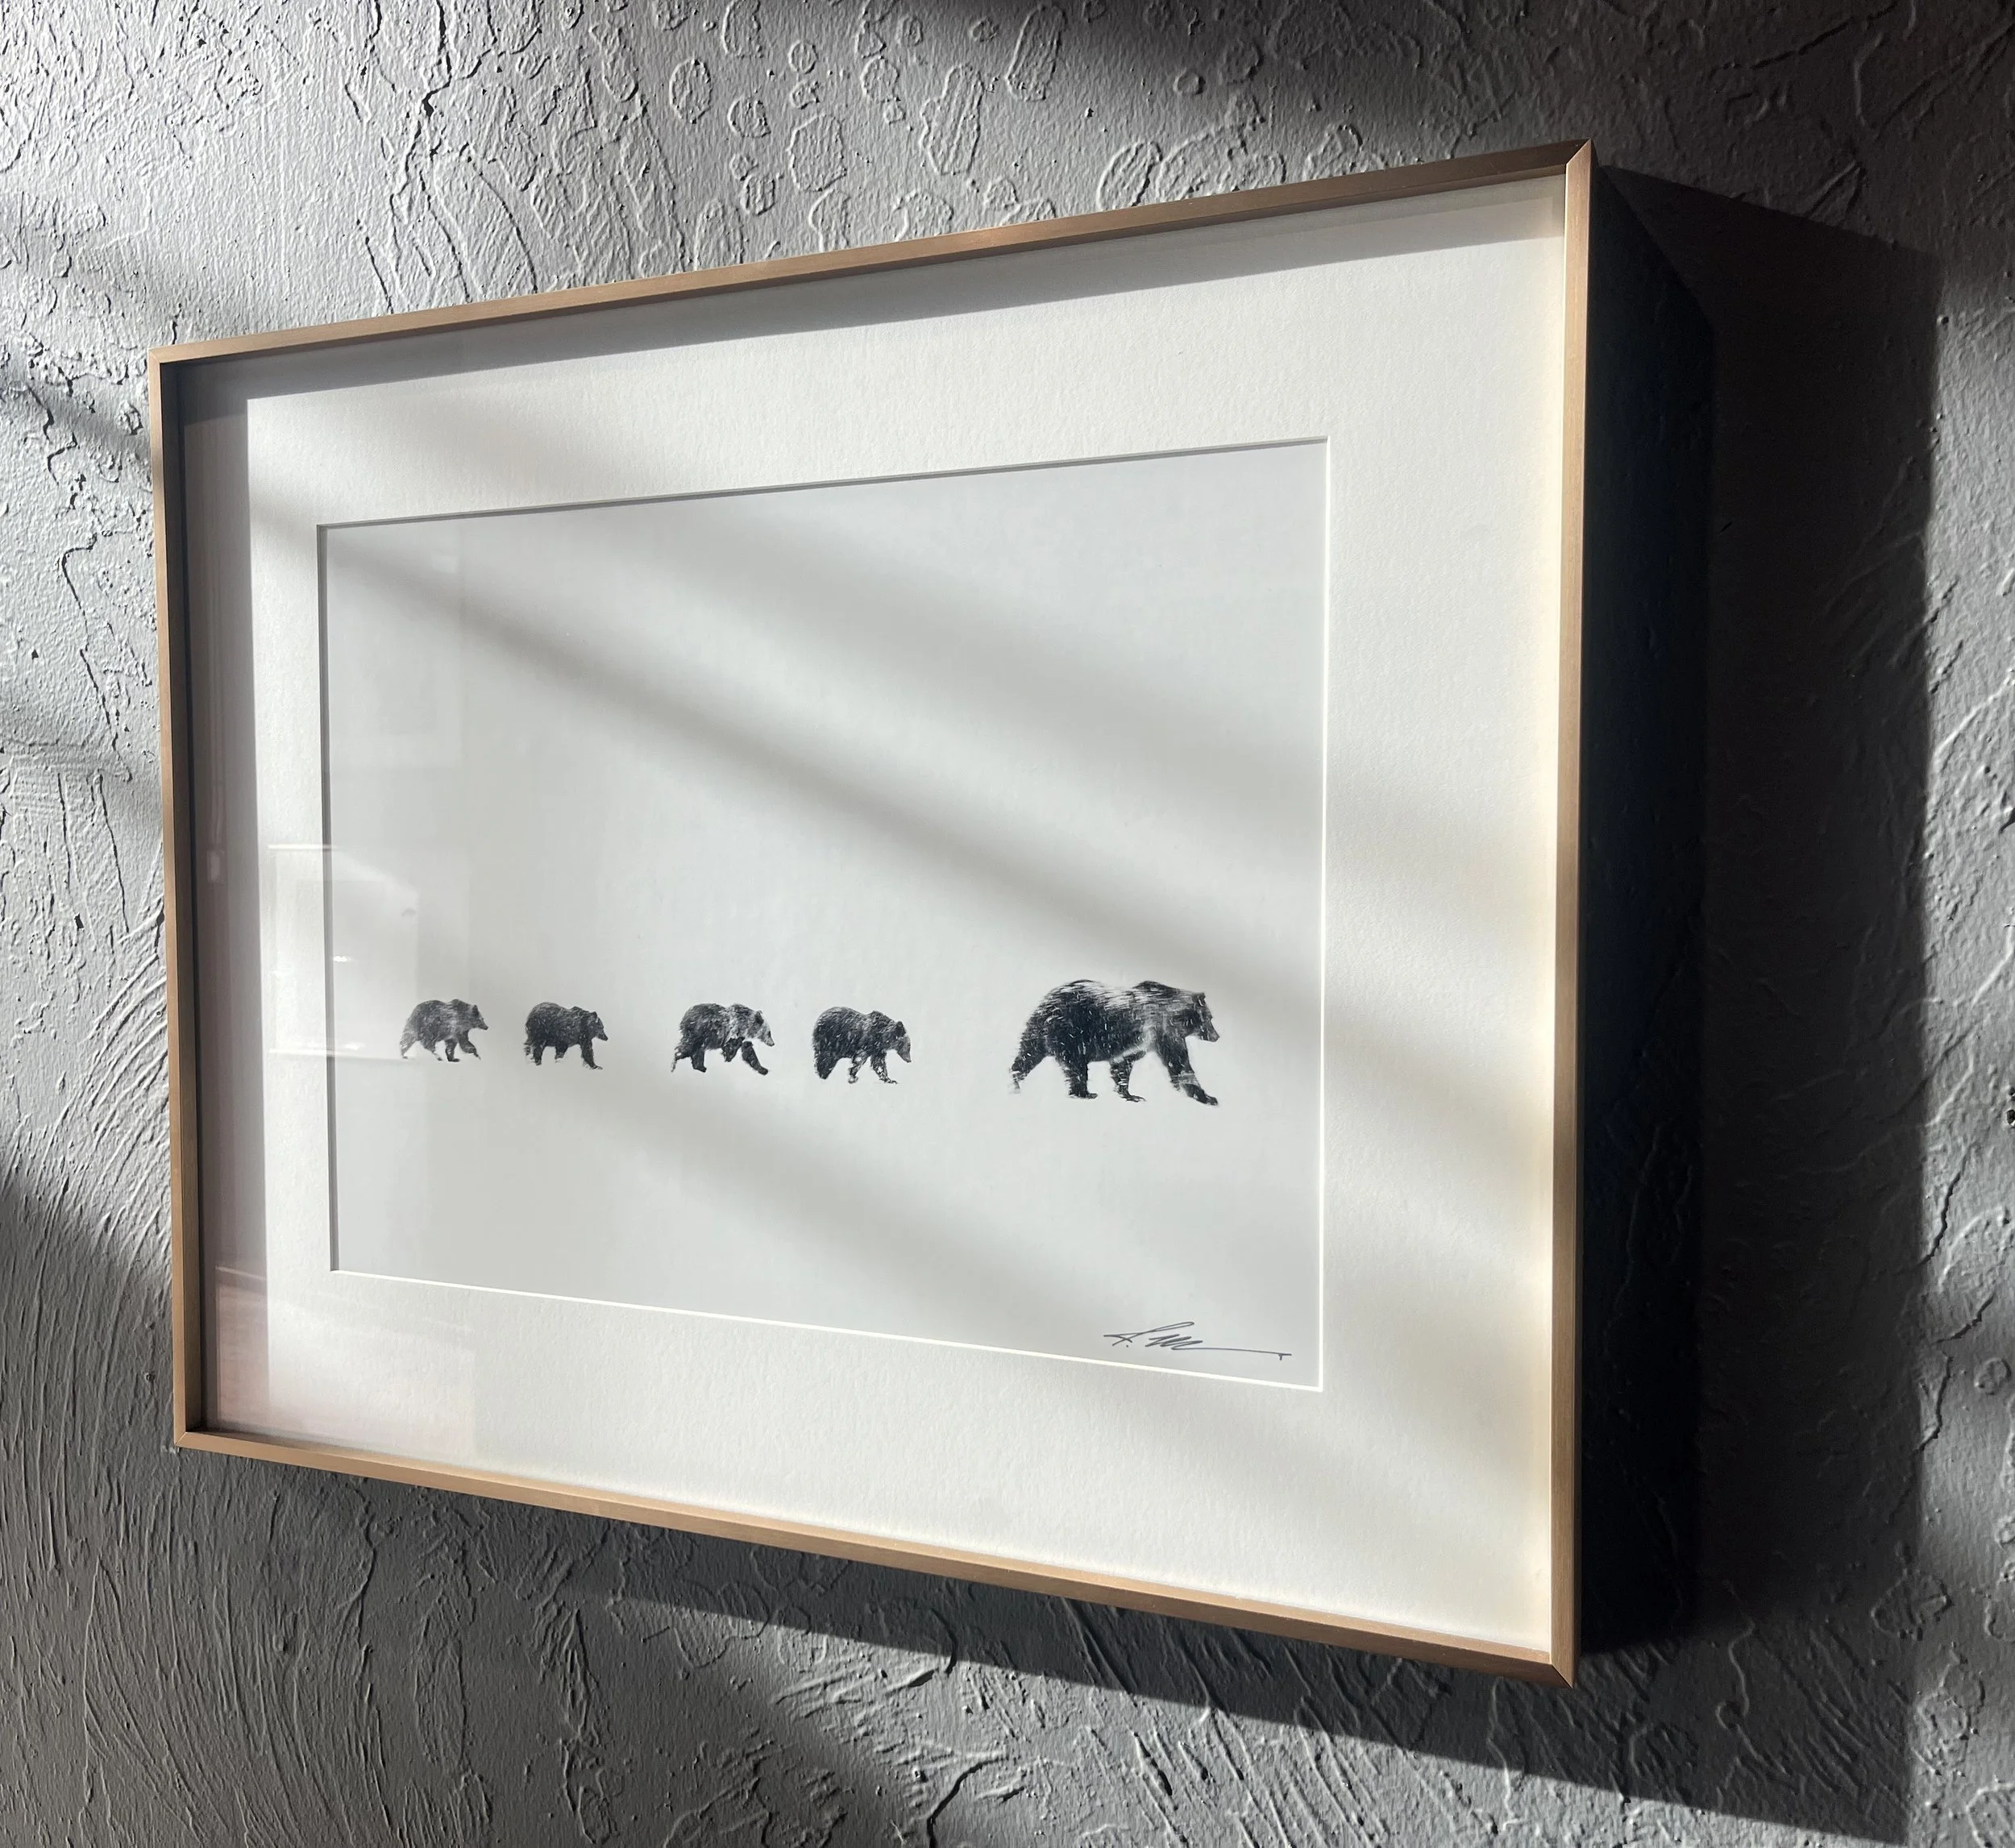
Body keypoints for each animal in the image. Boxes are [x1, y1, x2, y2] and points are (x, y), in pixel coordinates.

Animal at [1010, 979, 1220, 1104]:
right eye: (1210, 1018)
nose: (1217, 1036)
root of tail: (1046, 1004)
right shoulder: (1163, 1031)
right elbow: (1180, 1064)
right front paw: (1208, 1097)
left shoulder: (1136, 1044)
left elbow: (1122, 1067)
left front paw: (1131, 1095)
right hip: (1071, 1033)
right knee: (1076, 1066)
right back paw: (1084, 1093)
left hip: (1037, 1032)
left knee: (1027, 1055)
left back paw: (1015, 1082)